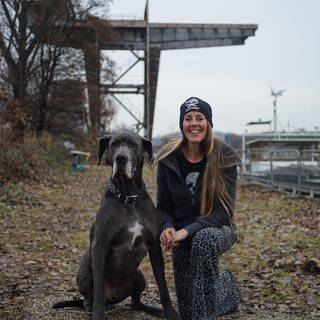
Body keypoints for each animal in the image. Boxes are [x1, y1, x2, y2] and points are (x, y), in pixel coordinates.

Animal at [51, 130, 179, 320]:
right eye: (114, 144)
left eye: (133, 144)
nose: (121, 158)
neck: (128, 197)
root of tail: (114, 297)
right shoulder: (99, 246)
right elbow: (98, 289)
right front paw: (98, 315)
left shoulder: (155, 247)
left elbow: (163, 285)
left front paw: (169, 312)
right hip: (85, 265)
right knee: (88, 298)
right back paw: (90, 308)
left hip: (139, 275)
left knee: (135, 302)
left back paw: (152, 309)